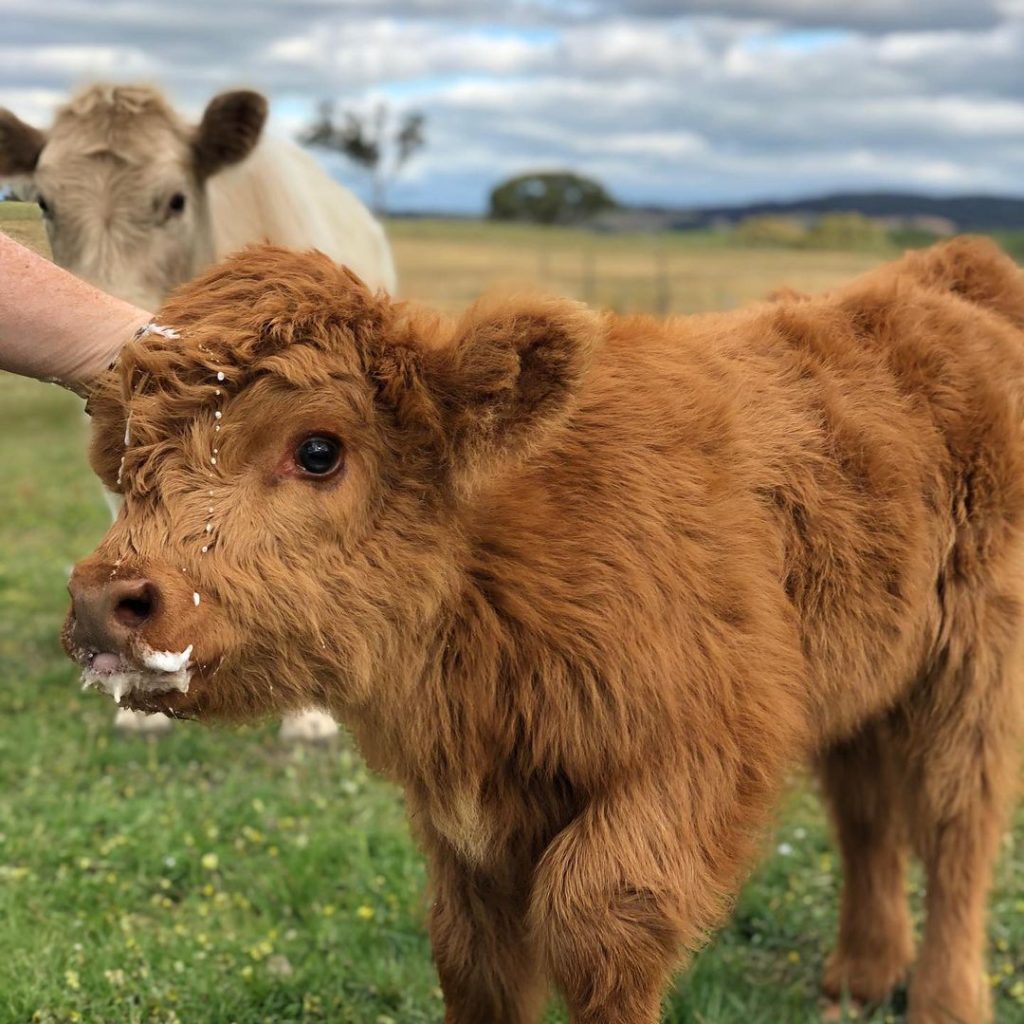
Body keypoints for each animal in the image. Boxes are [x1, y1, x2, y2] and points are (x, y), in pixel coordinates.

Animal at [66, 239, 1024, 1024]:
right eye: (132, 454)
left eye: (319, 451)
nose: (105, 599)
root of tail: (946, 279)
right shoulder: (473, 822)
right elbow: (475, 953)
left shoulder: (705, 750)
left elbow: (598, 918)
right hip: (869, 676)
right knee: (867, 816)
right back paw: (862, 975)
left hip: (974, 668)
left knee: (956, 823)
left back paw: (943, 1001)